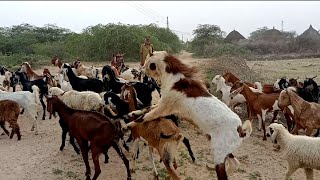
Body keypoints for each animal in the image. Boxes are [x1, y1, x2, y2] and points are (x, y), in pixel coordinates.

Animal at [122, 51, 252, 179]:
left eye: (147, 62)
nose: (140, 70)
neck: (175, 80)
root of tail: (241, 130)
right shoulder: (164, 106)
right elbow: (147, 108)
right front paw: (131, 113)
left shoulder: (164, 107)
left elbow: (144, 117)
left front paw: (126, 126)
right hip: (222, 149)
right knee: (235, 163)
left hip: (218, 154)